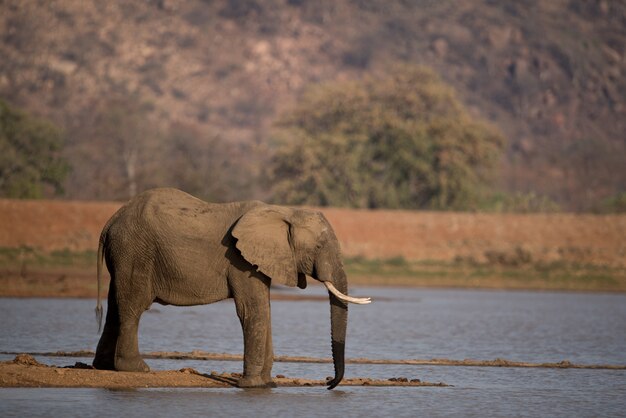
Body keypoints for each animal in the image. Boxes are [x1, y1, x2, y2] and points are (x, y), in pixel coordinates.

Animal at [90, 187, 368, 388]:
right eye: (319, 247)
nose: (328, 382)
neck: (284, 211)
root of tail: (111, 221)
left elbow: (264, 310)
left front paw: (266, 384)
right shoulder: (239, 259)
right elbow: (252, 310)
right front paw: (251, 385)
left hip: (125, 254)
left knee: (115, 305)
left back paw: (103, 366)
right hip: (135, 251)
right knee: (132, 306)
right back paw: (137, 368)